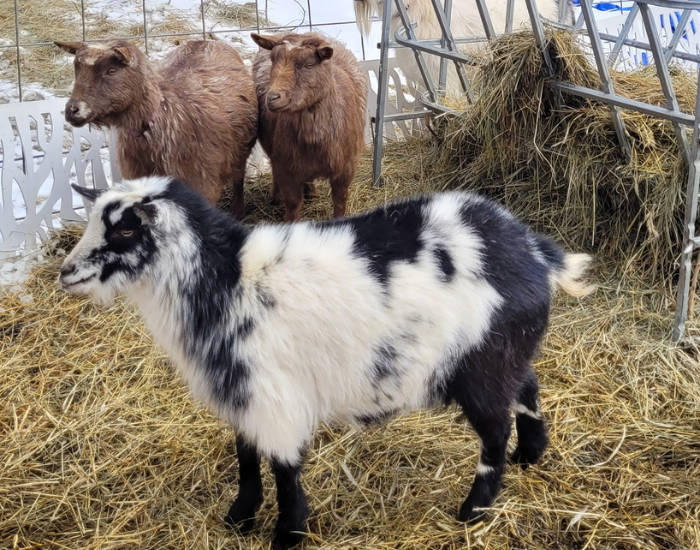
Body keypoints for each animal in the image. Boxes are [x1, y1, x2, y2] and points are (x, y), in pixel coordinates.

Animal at [55, 39, 258, 219]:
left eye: (111, 70)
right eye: (77, 70)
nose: (72, 111)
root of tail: (206, 40)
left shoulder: (203, 185)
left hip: (241, 149)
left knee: (239, 176)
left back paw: (238, 210)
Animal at [60, 176, 594, 550]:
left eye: (125, 227)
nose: (67, 272)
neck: (228, 280)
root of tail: (533, 250)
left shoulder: (273, 394)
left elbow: (283, 468)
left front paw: (287, 533)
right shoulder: (243, 394)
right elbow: (246, 457)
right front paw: (239, 518)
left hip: (483, 365)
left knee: (494, 432)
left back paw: (475, 510)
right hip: (506, 352)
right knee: (527, 387)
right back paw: (531, 454)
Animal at [251, 32, 367, 222]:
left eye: (309, 64)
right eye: (273, 60)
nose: (272, 97)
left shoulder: (347, 166)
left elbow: (340, 198)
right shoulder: (286, 168)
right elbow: (293, 205)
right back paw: (276, 197)